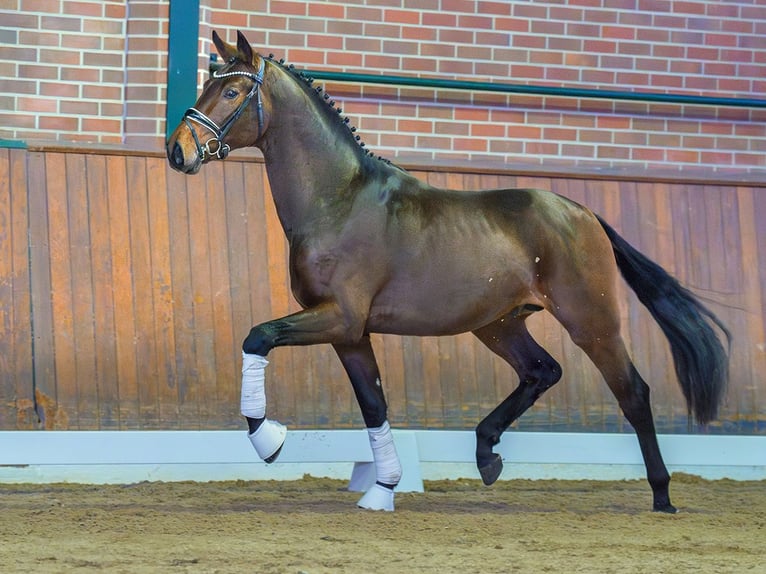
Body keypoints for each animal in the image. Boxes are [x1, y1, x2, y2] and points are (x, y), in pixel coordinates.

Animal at [168, 31, 732, 516]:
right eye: (207, 84)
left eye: (233, 89)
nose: (178, 150)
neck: (338, 200)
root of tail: (581, 212)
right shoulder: (350, 334)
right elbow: (373, 404)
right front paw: (383, 488)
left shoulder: (338, 317)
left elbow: (258, 336)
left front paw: (269, 440)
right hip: (499, 324)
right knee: (541, 371)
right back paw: (487, 455)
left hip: (591, 322)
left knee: (633, 393)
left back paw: (662, 495)